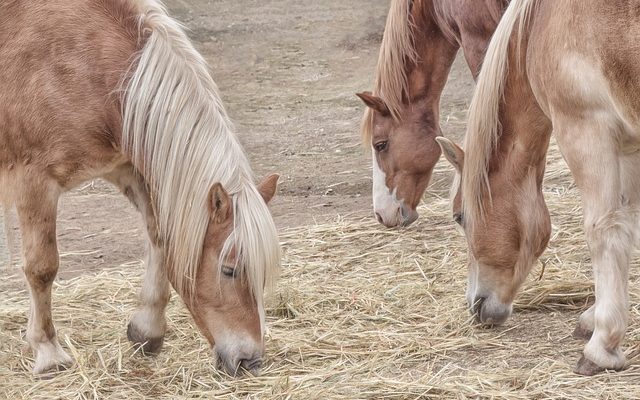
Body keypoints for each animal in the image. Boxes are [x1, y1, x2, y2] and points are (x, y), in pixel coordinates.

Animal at [0, 0, 280, 376]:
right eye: (229, 269)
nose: (250, 360)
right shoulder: (35, 183)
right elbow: (42, 267)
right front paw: (47, 351)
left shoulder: (127, 169)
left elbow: (160, 238)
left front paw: (147, 330)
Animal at [438, 0, 640, 376]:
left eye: (459, 216)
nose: (476, 305)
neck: (540, 25)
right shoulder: (629, 146)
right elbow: (630, 225)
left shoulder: (586, 129)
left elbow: (604, 232)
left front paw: (602, 345)